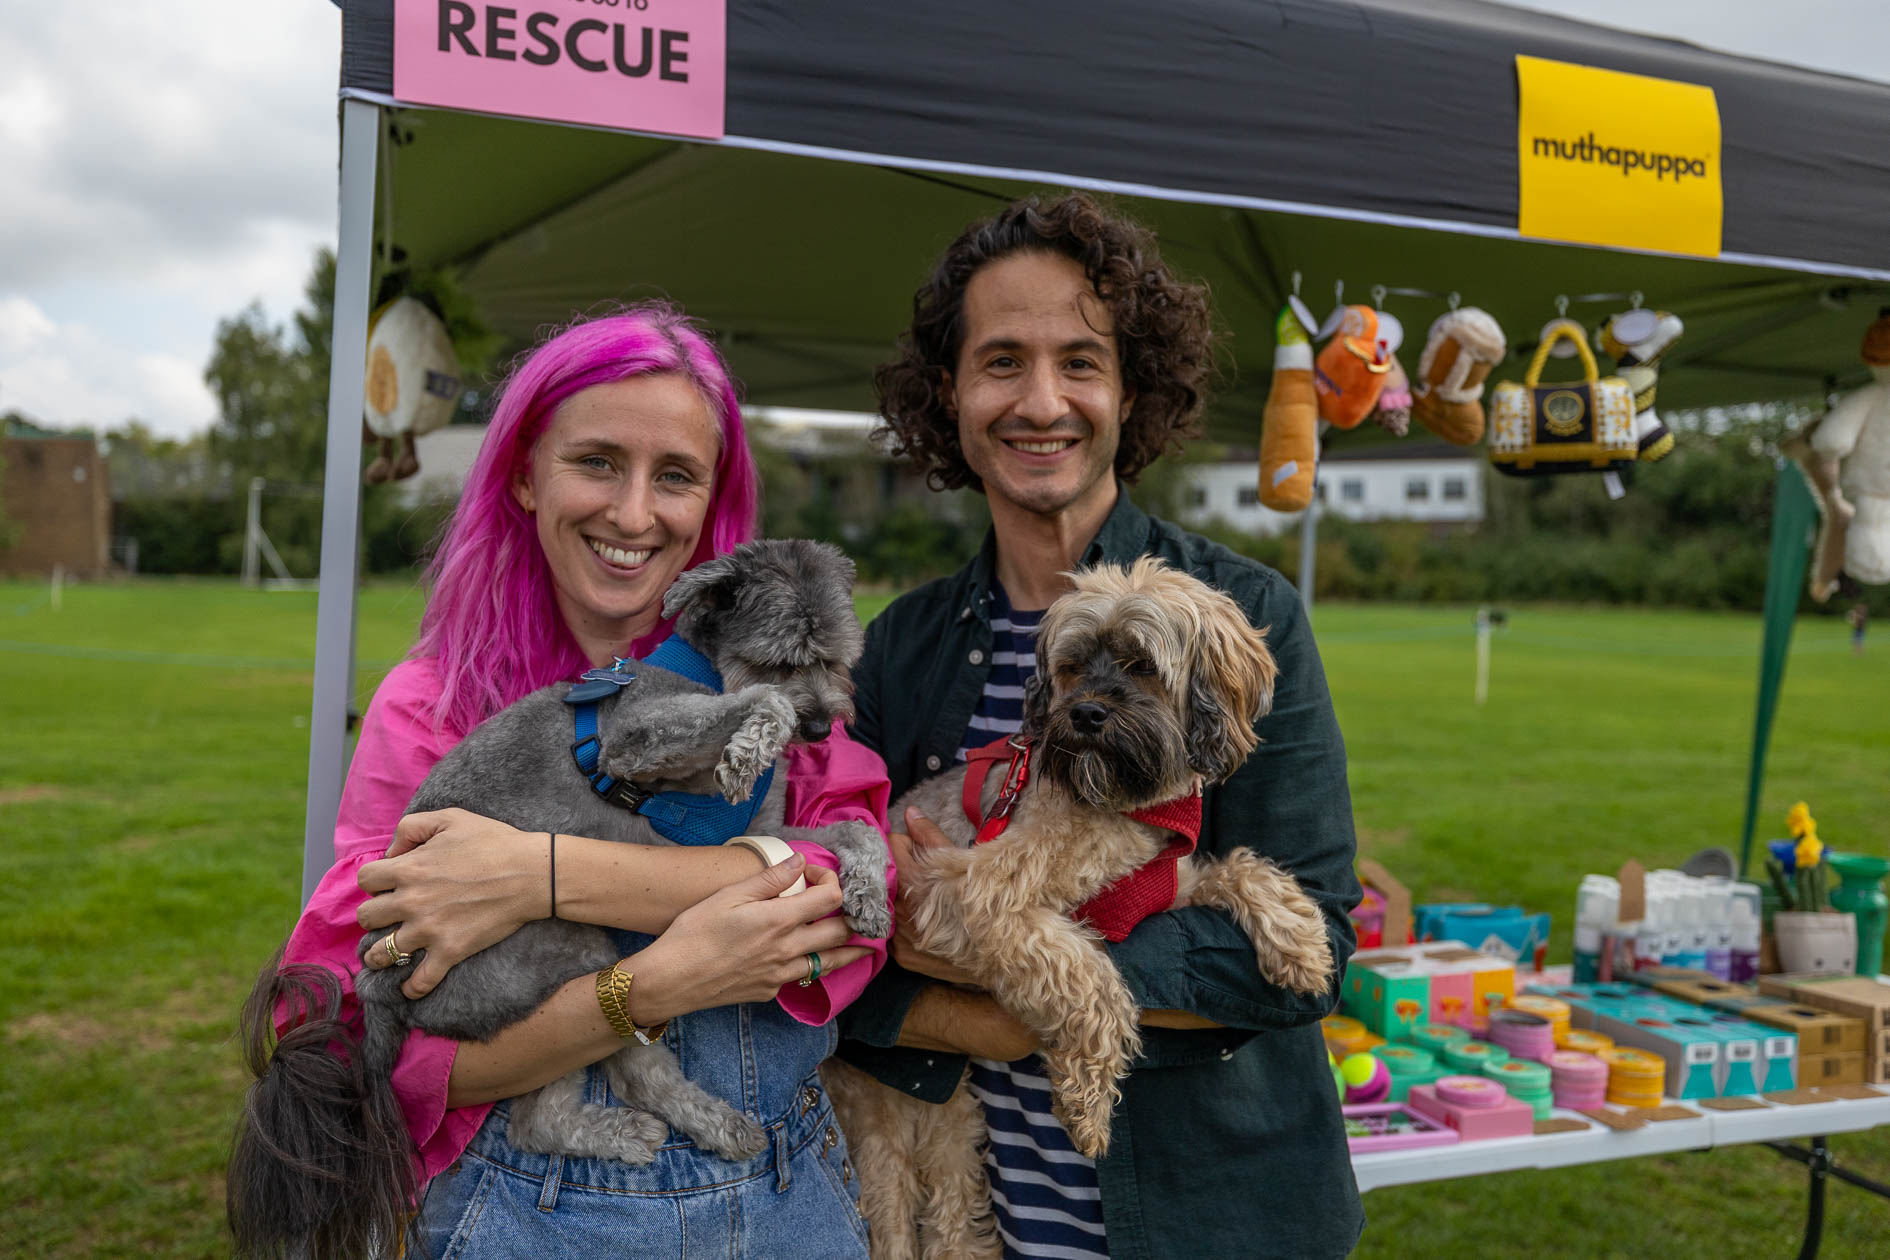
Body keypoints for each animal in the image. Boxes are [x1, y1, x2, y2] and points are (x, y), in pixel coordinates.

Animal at [230, 539, 892, 1260]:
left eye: (839, 658)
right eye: (779, 657)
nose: (822, 727)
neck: (706, 671)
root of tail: (377, 981)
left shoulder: (758, 836)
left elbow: (854, 830)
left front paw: (869, 895)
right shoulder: (633, 741)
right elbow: (759, 701)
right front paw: (751, 742)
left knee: (541, 1118)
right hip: (560, 957)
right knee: (612, 1080)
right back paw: (670, 1128)